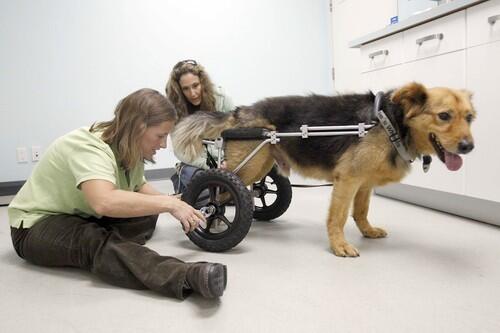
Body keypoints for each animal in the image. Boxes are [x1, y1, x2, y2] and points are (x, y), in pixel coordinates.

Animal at [172, 81, 476, 255]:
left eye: (470, 117)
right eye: (444, 116)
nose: (469, 147)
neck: (392, 121)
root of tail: (238, 111)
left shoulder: (363, 183)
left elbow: (361, 212)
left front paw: (367, 231)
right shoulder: (347, 180)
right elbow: (338, 218)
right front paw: (338, 245)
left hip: (260, 166)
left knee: (248, 191)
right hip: (245, 167)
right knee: (217, 191)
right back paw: (205, 215)